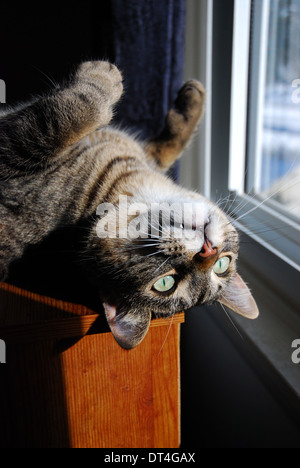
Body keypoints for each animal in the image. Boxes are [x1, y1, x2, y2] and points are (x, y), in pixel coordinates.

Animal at [0, 61, 258, 348]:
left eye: (164, 283)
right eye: (223, 265)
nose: (209, 250)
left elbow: (70, 117)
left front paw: (102, 75)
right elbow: (165, 147)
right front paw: (194, 99)